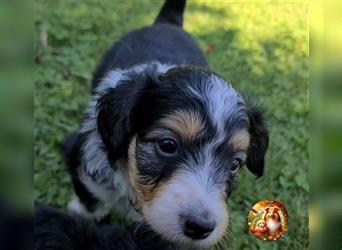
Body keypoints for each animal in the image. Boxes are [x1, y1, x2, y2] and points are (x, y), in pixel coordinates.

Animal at [62, 0, 268, 246]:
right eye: (168, 145)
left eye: (235, 163)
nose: (200, 227)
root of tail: (167, 23)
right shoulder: (80, 160)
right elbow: (90, 202)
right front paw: (78, 217)